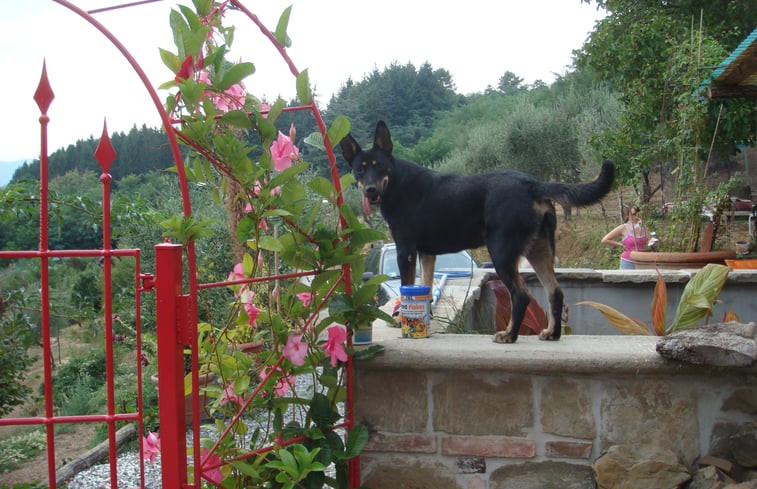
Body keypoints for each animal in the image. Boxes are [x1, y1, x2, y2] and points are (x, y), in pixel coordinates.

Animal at [340, 121, 612, 344]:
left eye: (379, 166)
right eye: (359, 170)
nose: (370, 190)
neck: (396, 183)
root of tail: (532, 184)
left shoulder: (405, 249)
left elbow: (409, 284)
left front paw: (401, 320)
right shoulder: (426, 254)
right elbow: (425, 288)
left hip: (502, 253)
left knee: (521, 295)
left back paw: (509, 335)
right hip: (540, 250)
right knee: (555, 292)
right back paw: (552, 333)